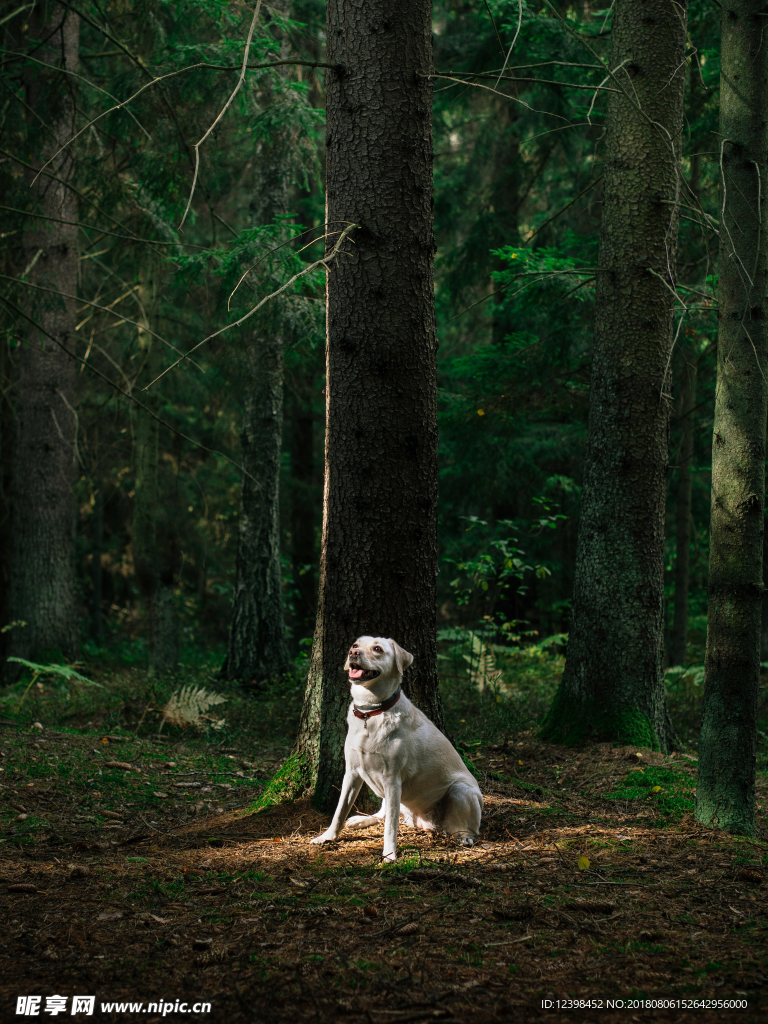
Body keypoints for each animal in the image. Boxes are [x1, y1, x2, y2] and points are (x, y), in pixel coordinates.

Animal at [309, 634, 483, 860]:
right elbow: (340, 811)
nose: (353, 653)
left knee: (470, 828)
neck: (370, 711)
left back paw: (465, 837)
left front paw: (389, 855)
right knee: (382, 813)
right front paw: (327, 837)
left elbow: (390, 827)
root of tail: (426, 823)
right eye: (355, 645)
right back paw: (361, 820)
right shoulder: (352, 772)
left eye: (377, 649)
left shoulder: (392, 779)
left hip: (461, 791)